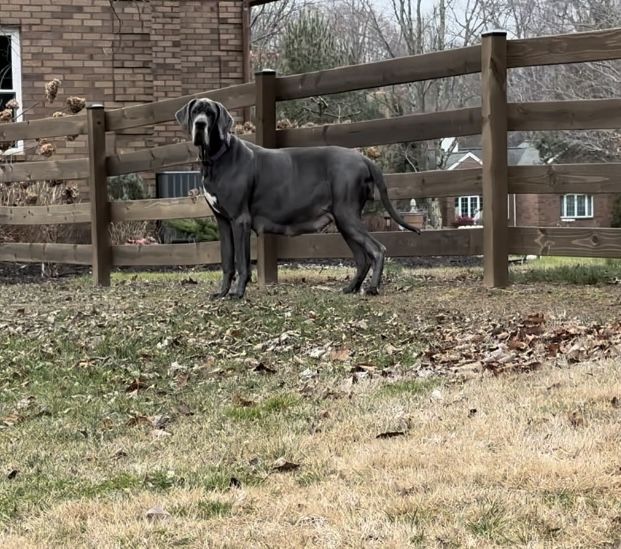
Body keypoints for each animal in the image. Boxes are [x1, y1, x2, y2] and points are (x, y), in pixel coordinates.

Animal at [175, 98, 421, 299]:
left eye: (210, 113)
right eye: (196, 111)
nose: (200, 124)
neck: (217, 158)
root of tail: (363, 159)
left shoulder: (240, 220)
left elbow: (242, 263)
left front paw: (238, 293)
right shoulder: (223, 221)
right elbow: (227, 261)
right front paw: (222, 293)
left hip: (347, 216)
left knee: (378, 249)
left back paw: (372, 288)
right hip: (344, 221)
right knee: (362, 258)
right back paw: (351, 288)